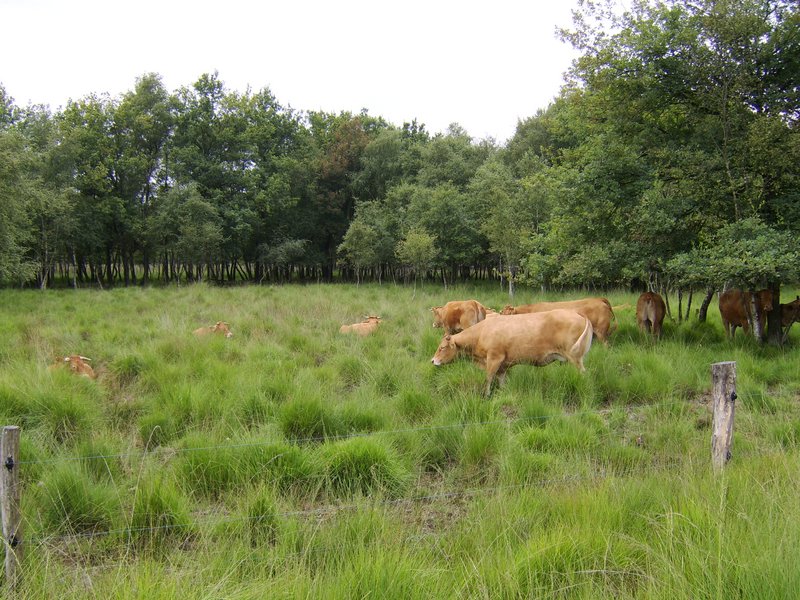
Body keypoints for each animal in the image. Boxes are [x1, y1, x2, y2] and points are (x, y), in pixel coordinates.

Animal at [430, 309, 593, 396]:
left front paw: (486, 395)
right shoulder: (503, 365)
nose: (432, 360)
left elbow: (488, 378)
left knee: (583, 373)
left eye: (442, 347)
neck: (481, 333)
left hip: (575, 358)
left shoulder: (494, 358)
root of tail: (576, 312)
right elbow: (501, 380)